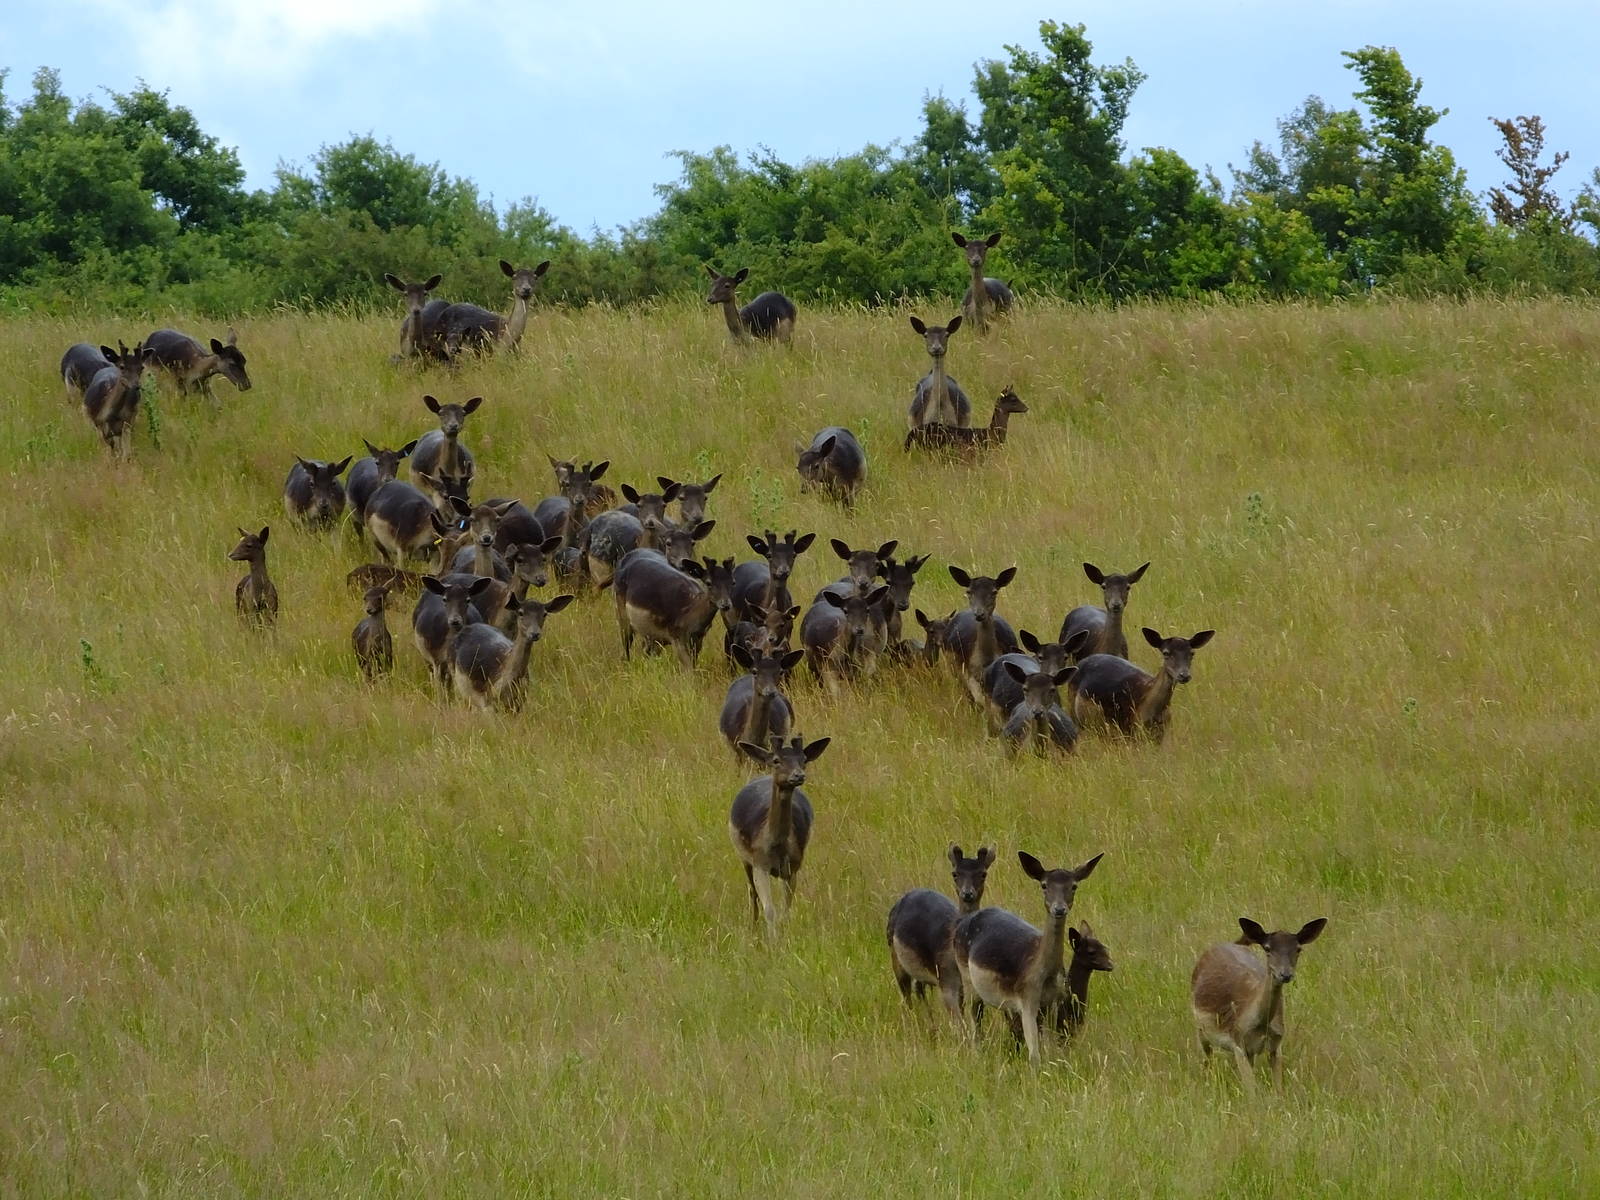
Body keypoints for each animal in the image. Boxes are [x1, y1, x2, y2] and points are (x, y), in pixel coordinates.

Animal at [728, 734, 829, 937]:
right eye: (776, 760)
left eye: (803, 759)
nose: (798, 775)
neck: (777, 847)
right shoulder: (759, 863)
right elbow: (770, 910)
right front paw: (772, 941)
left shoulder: (793, 866)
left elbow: (786, 910)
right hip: (744, 858)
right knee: (752, 892)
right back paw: (753, 928)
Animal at [886, 844, 996, 1024]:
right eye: (955, 873)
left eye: (983, 873)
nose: (967, 893)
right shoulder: (946, 979)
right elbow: (959, 1021)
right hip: (895, 956)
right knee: (906, 994)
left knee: (919, 988)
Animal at [952, 850, 1104, 1067]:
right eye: (1044, 885)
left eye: (1074, 885)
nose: (1059, 908)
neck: (1044, 975)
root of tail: (961, 924)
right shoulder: (1027, 999)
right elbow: (1035, 1056)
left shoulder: (1053, 1003)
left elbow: (1050, 1050)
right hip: (967, 978)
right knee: (974, 1020)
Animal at [1192, 917, 1328, 1095]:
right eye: (1267, 948)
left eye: (1298, 949)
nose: (1285, 974)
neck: (1260, 1025)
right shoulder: (1238, 1041)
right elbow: (1252, 1092)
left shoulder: (1276, 1044)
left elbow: (1278, 1089)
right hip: (1200, 1029)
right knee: (1207, 1057)